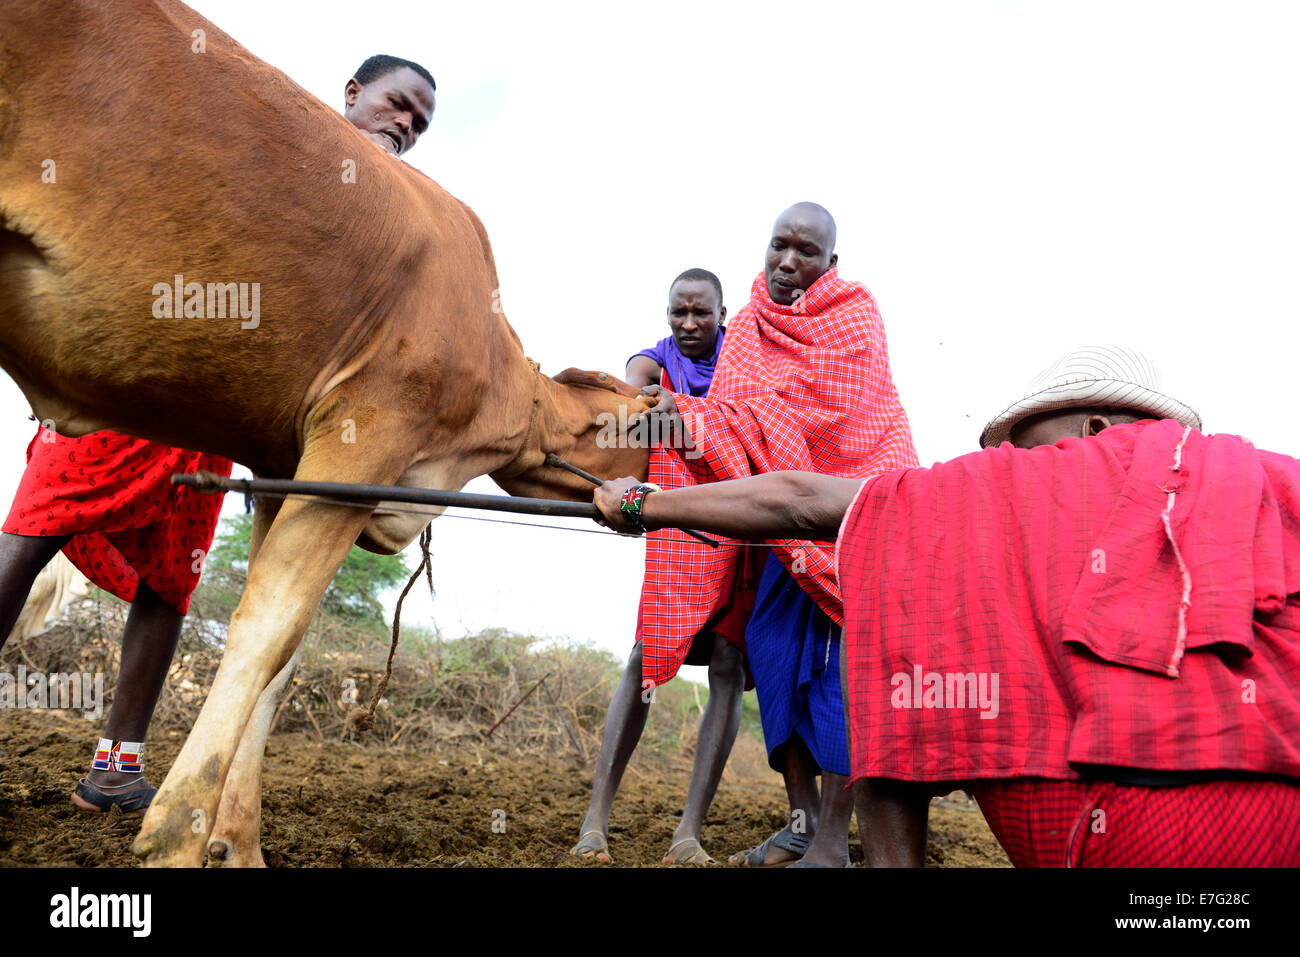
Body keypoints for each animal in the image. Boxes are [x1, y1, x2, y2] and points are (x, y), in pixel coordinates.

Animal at [0, 1, 650, 868]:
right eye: (658, 417)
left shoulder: (288, 470)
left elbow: (285, 657)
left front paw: (238, 842)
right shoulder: (362, 442)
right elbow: (266, 630)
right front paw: (178, 833)